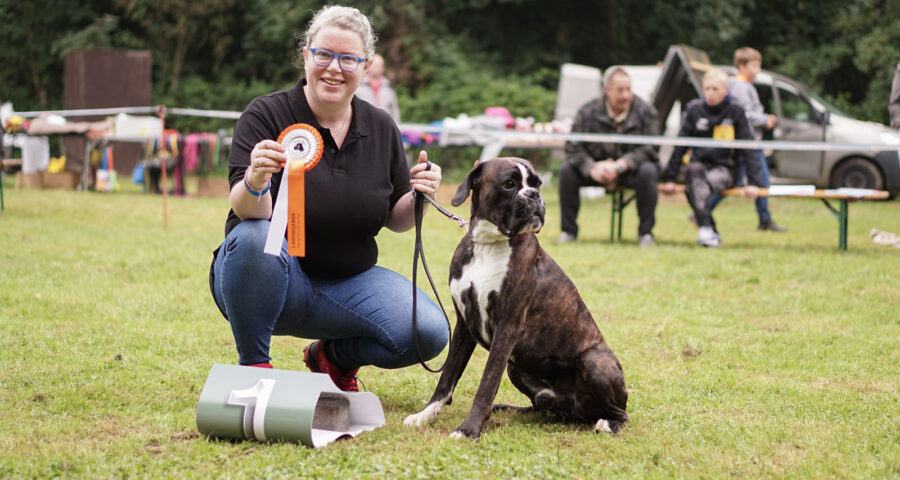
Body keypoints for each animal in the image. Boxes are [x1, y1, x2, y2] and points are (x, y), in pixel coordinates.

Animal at [404, 157, 628, 438]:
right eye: (509, 184)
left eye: (537, 184)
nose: (534, 195)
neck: (489, 245)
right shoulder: (464, 325)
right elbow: (447, 378)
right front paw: (424, 415)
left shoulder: (507, 327)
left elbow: (487, 383)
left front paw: (468, 429)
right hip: (517, 369)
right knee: (543, 407)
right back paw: (509, 409)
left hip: (594, 361)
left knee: (621, 413)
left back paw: (608, 423)